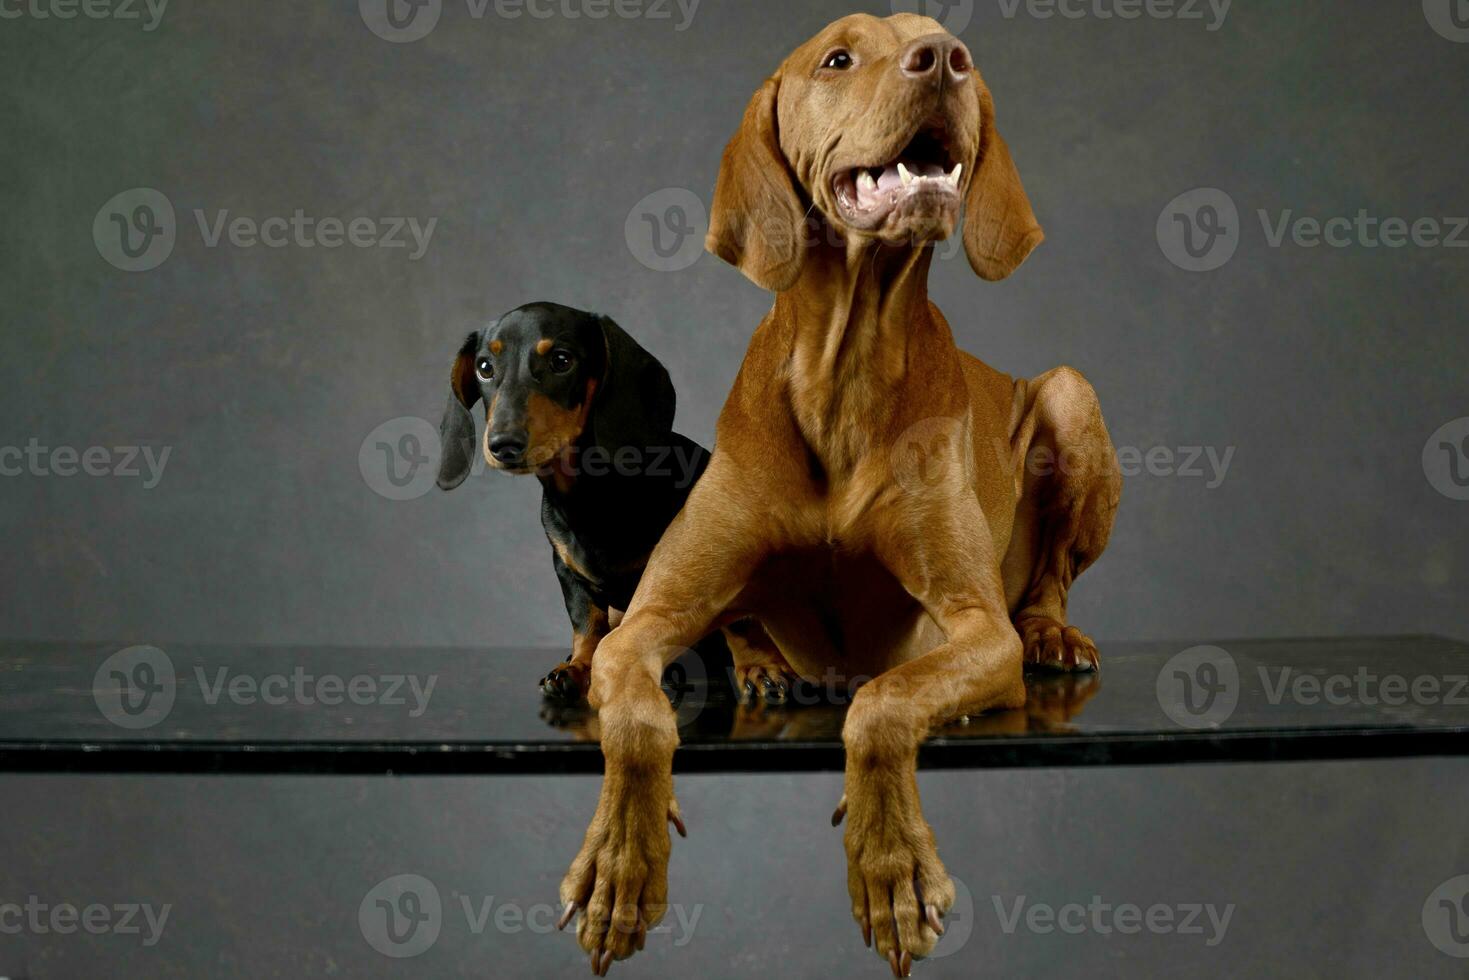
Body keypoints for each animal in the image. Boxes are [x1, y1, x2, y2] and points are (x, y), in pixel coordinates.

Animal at [561, 11, 1122, 975]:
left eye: (949, 43)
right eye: (837, 57)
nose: (945, 60)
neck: (845, 368)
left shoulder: (970, 630)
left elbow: (881, 701)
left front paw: (890, 864)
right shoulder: (648, 619)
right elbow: (634, 716)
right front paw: (618, 865)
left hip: (1067, 392)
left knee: (1048, 579)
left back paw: (1052, 631)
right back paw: (757, 668)